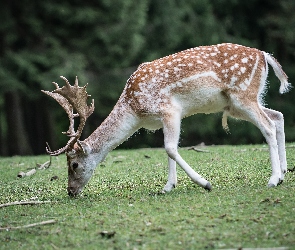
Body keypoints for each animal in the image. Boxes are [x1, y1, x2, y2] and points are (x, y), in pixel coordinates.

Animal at [41, 43, 292, 196]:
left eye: (74, 164)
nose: (70, 191)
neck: (135, 110)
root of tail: (264, 55)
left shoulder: (170, 109)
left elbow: (171, 148)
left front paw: (205, 183)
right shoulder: (163, 118)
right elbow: (167, 149)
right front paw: (168, 186)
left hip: (243, 95)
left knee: (268, 125)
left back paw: (273, 179)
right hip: (238, 104)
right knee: (278, 116)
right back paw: (284, 172)